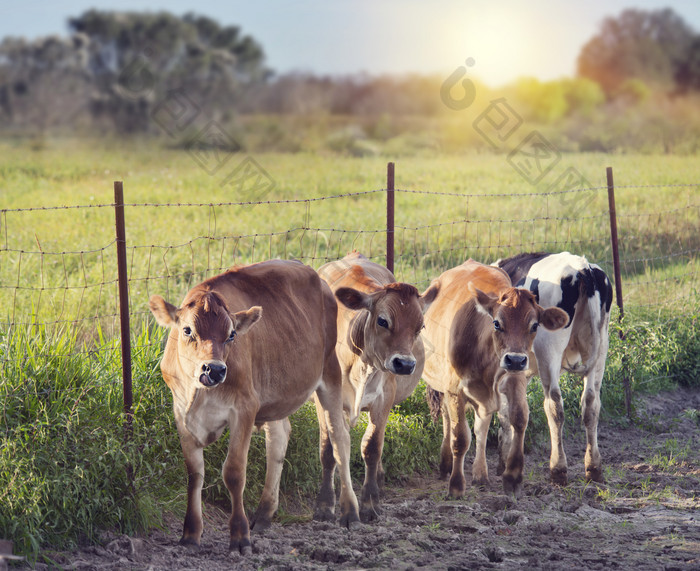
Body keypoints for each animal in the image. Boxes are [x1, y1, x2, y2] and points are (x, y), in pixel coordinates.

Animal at [492, 252, 612, 484]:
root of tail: (582, 268)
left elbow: (504, 409)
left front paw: (504, 461)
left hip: (549, 348)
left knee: (554, 404)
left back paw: (558, 468)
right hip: (601, 348)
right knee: (591, 402)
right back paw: (593, 467)